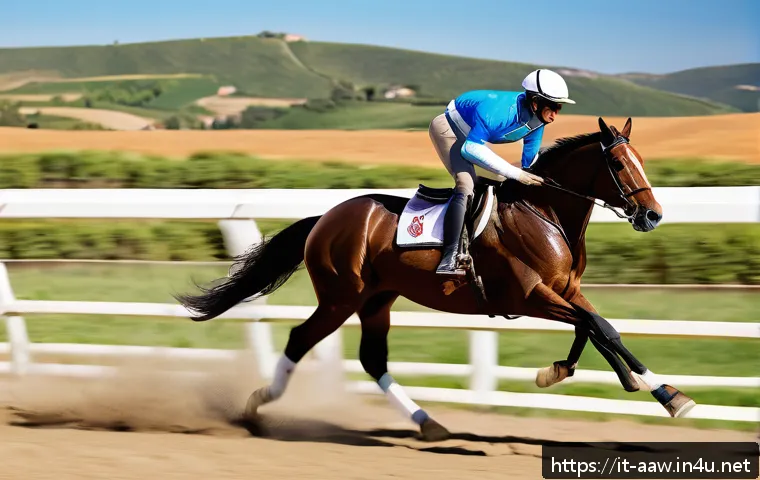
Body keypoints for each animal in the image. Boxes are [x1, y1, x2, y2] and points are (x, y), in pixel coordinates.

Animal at [174, 117, 696, 441]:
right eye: (619, 163)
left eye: (642, 159)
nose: (652, 214)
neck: (546, 213)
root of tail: (325, 217)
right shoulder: (530, 295)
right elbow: (598, 326)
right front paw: (665, 393)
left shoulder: (565, 290)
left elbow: (596, 327)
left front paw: (599, 377)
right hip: (341, 297)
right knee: (301, 339)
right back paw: (256, 406)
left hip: (377, 299)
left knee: (373, 359)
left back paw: (428, 423)